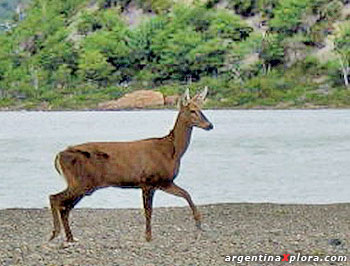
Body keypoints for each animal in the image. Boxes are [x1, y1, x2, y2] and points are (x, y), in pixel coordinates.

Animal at [49, 87, 213, 241]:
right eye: (192, 111)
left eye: (201, 109)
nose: (210, 125)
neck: (172, 151)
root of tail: (59, 155)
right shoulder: (148, 181)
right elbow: (148, 211)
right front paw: (148, 236)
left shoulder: (164, 182)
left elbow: (186, 194)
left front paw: (199, 223)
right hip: (80, 183)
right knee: (55, 198)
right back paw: (56, 233)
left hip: (82, 185)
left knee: (65, 207)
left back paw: (69, 237)